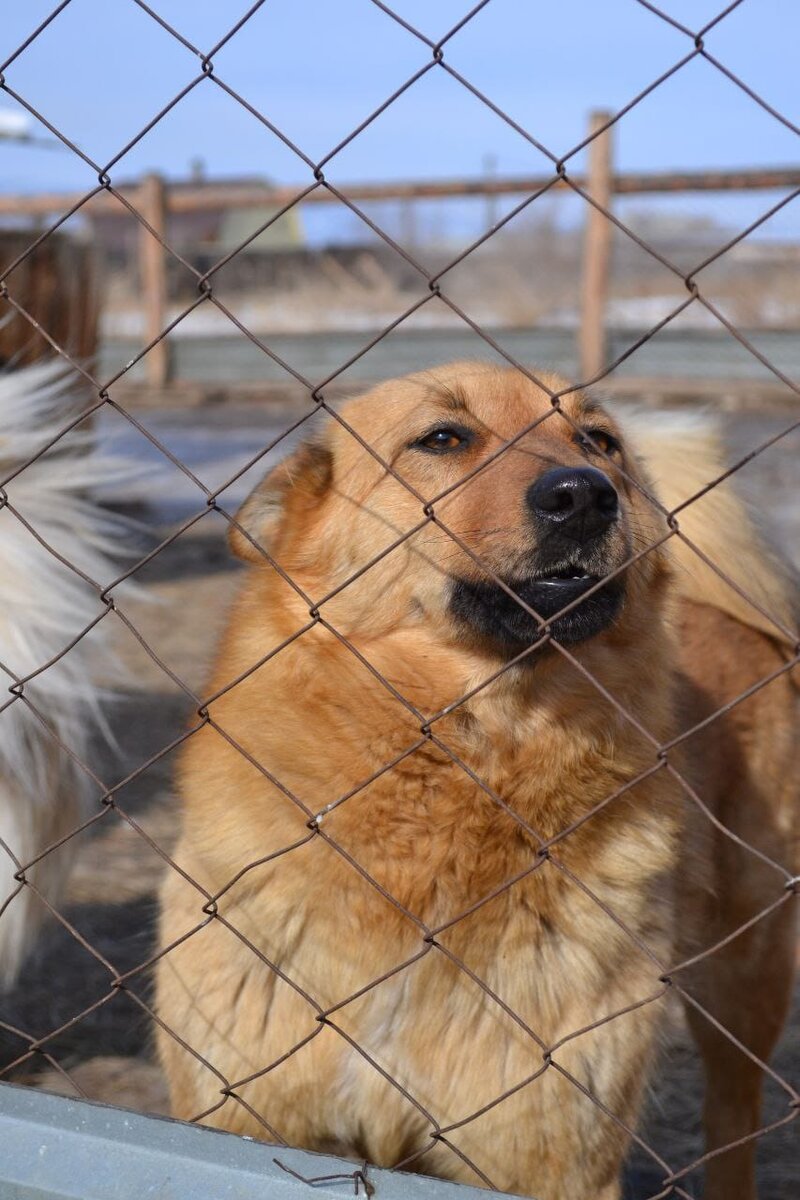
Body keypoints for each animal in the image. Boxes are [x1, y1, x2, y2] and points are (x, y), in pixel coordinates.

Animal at [155, 360, 796, 1200]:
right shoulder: (248, 1123)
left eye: (599, 441)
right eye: (443, 439)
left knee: (733, 1123)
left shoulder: (549, 1156)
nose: (585, 493)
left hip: (746, 979)